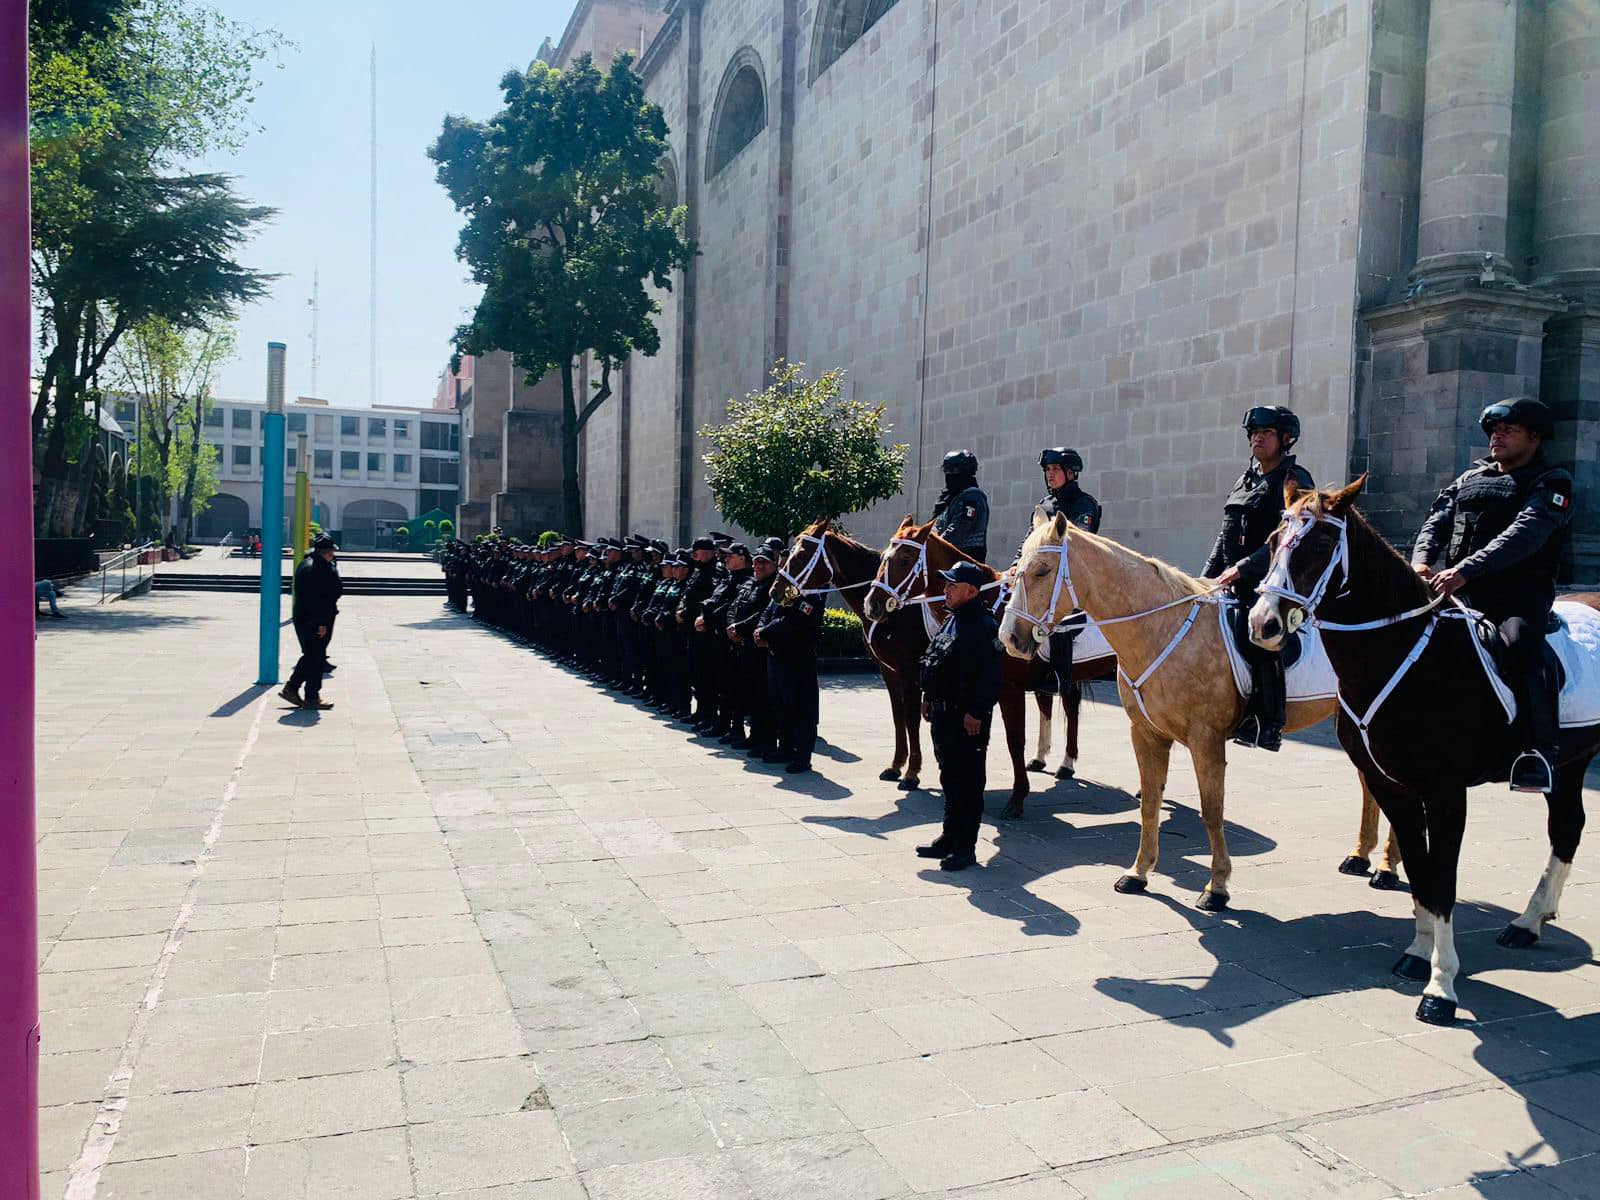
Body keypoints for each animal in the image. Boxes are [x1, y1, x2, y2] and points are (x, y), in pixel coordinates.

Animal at [857, 521, 1120, 825]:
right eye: (884, 558)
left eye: (904, 559)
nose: (872, 605)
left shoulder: (1008, 690)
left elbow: (1014, 741)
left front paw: (1016, 799)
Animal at [998, 508, 1401, 908]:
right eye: (1016, 569)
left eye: (1042, 571)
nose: (1009, 639)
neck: (1162, 628)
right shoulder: (1146, 733)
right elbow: (1150, 804)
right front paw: (1138, 873)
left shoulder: (1206, 740)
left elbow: (1211, 810)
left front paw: (1217, 887)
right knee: (1370, 782)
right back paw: (1361, 855)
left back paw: (1386, 867)